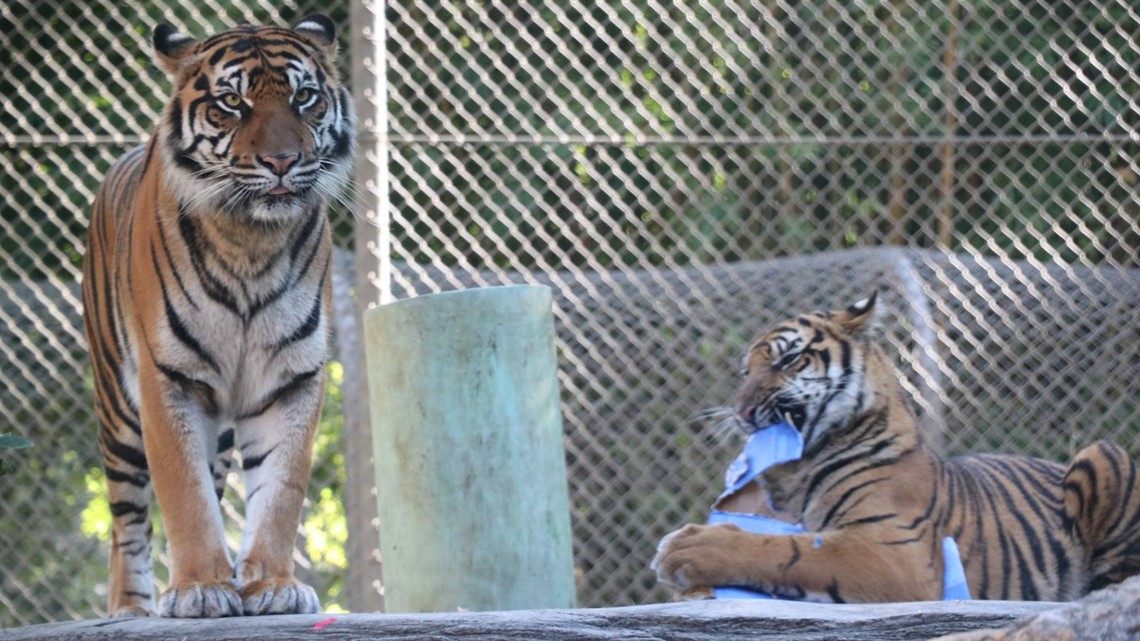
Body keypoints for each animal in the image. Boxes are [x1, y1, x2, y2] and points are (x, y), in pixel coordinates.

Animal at [80, 17, 353, 615]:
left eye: (304, 97)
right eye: (233, 102)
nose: (282, 161)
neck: (252, 239)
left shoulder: (291, 377)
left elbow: (280, 488)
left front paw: (272, 585)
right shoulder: (168, 377)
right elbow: (184, 492)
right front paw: (201, 588)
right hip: (118, 412)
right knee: (127, 521)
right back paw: (130, 609)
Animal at [652, 291, 1140, 602]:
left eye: (787, 360)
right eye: (744, 373)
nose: (741, 410)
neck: (797, 472)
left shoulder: (894, 550)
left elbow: (788, 549)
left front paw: (685, 550)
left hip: (1104, 454)